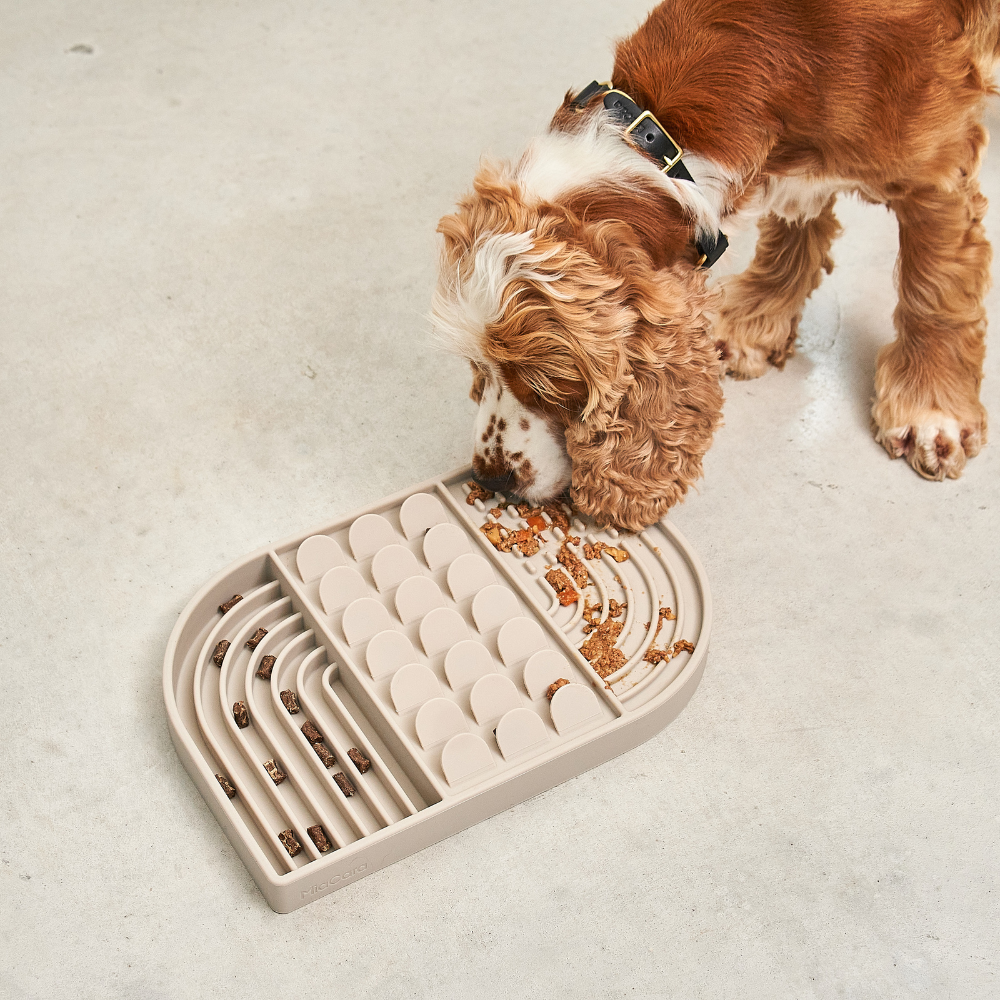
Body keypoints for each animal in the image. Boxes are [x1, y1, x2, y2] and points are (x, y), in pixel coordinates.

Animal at [432, 0, 1000, 532]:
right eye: (476, 364)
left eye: (548, 385)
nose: (490, 477)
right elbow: (800, 218)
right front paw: (754, 322)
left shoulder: (938, 170)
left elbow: (936, 289)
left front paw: (931, 411)